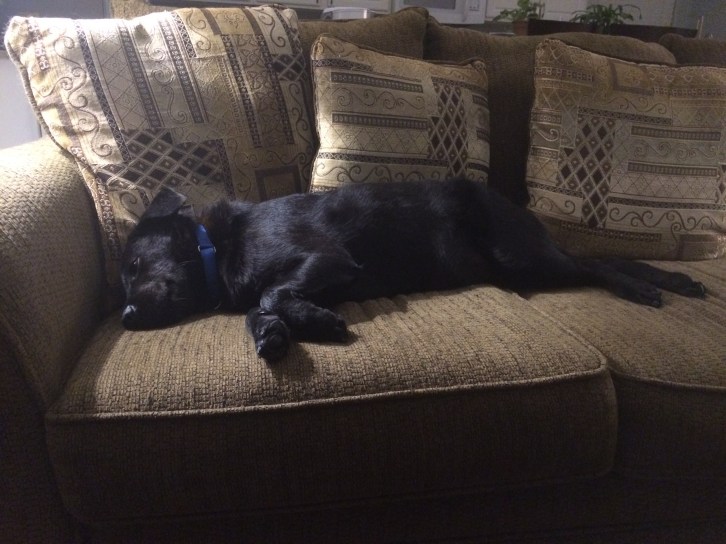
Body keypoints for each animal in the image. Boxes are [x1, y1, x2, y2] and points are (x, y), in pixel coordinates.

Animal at [121, 178, 706, 361]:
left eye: (133, 264)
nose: (124, 316)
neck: (214, 249)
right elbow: (258, 308)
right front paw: (273, 334)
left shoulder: (328, 260)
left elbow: (269, 294)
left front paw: (314, 323)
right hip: (523, 267)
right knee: (599, 259)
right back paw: (675, 280)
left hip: (521, 257)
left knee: (595, 263)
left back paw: (645, 288)